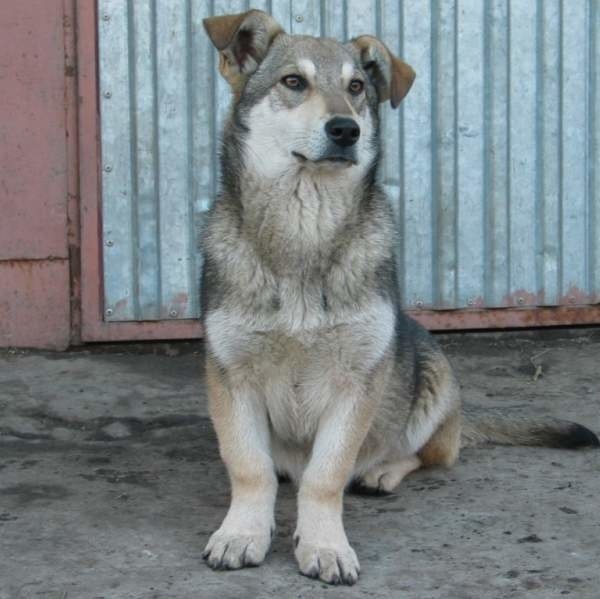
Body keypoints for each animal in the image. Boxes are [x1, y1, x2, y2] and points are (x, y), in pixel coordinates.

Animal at [199, 9, 596, 584]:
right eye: (293, 82)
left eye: (357, 88)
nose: (346, 129)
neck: (304, 228)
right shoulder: (231, 375)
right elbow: (251, 468)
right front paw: (243, 533)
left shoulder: (357, 379)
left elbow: (326, 474)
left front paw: (325, 544)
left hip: (434, 373)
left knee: (432, 454)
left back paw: (383, 471)